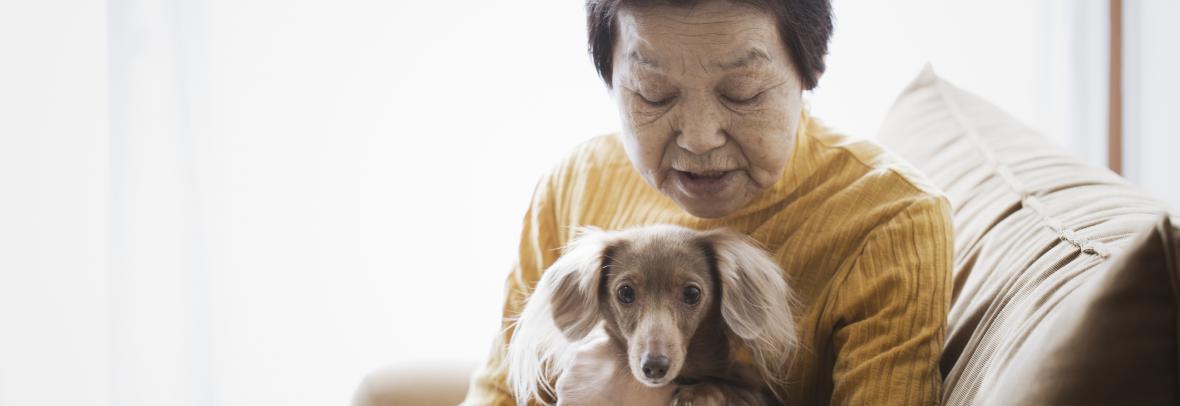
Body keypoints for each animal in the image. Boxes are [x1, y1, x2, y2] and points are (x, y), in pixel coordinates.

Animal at [502, 225, 797, 406]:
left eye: (692, 293)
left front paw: (696, 394)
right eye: (625, 292)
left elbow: (730, 387)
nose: (654, 366)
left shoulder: (753, 390)